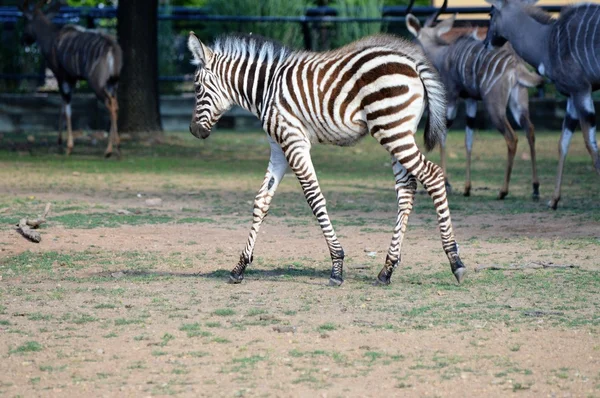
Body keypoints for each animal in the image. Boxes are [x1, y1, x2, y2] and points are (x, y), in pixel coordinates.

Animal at [19, 0, 122, 159]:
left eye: (25, 20)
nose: (23, 40)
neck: (52, 38)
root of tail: (112, 48)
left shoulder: (62, 76)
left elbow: (67, 109)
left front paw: (68, 147)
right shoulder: (71, 79)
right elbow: (62, 107)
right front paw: (59, 141)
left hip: (96, 83)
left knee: (110, 104)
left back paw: (110, 150)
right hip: (113, 83)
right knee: (115, 104)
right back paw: (117, 148)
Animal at [185, 31, 466, 286]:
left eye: (197, 88)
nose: (194, 131)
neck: (264, 89)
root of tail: (412, 62)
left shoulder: (294, 141)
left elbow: (314, 198)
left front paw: (337, 266)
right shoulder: (278, 147)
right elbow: (261, 201)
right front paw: (240, 266)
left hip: (392, 129)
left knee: (433, 176)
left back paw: (455, 261)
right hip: (397, 132)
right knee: (407, 188)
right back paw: (387, 270)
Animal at [406, 0, 540, 199]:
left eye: (415, 39)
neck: (443, 53)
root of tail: (515, 66)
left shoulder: (452, 98)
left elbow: (443, 135)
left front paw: (448, 183)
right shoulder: (470, 101)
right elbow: (468, 139)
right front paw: (467, 188)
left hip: (495, 108)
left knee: (512, 138)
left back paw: (503, 190)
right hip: (519, 105)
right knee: (529, 130)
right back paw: (535, 187)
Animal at [486, 0, 600, 208]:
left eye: (490, 13)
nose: (486, 42)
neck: (547, 41)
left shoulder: (581, 90)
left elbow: (590, 143)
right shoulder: (572, 96)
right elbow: (563, 143)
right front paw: (554, 199)